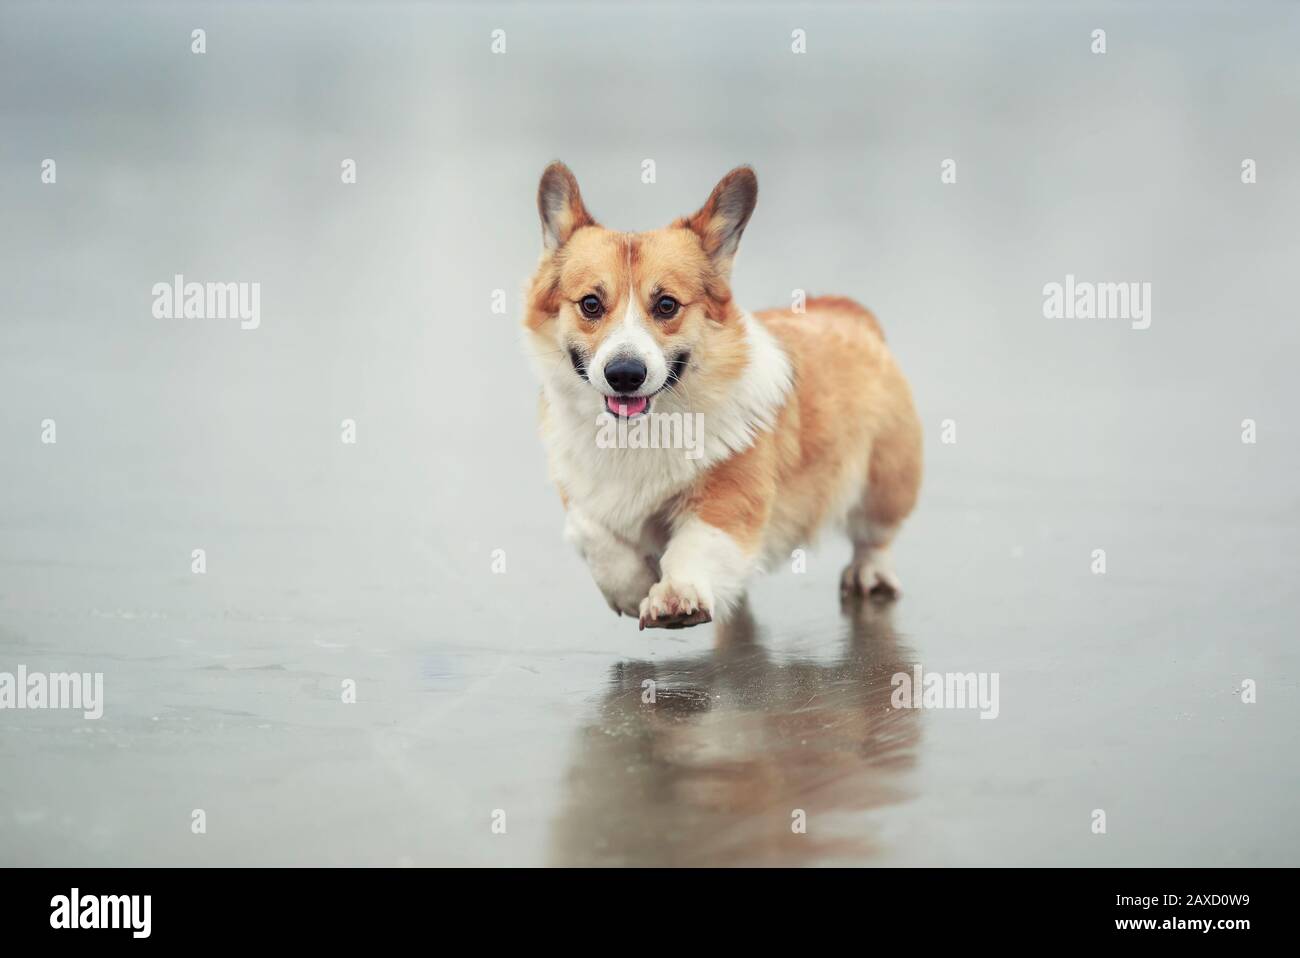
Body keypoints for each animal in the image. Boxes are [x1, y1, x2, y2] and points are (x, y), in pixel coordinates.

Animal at [522, 162, 920, 629]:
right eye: (590, 304)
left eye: (667, 305)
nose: (624, 375)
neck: (644, 428)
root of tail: (847, 311)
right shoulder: (580, 493)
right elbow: (591, 533)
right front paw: (633, 589)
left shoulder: (730, 496)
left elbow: (696, 545)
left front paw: (675, 597)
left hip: (886, 479)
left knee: (874, 535)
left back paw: (869, 573)